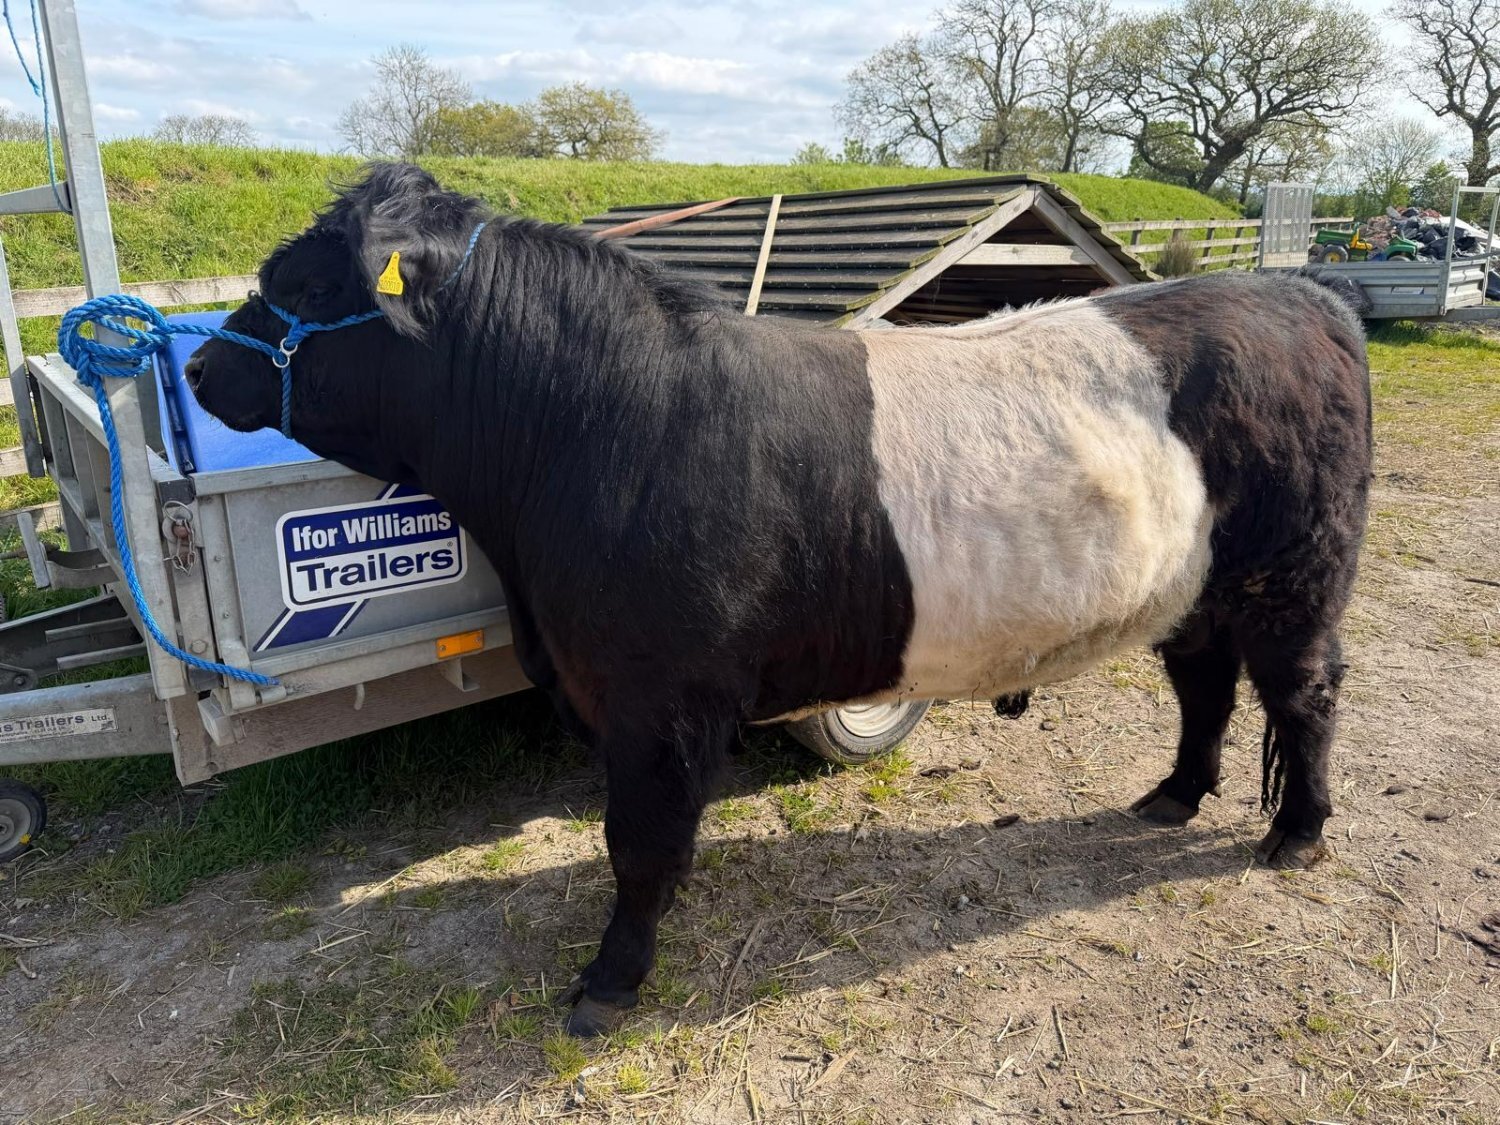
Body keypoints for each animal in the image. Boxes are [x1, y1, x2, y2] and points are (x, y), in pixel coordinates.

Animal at [184, 163, 1373, 1036]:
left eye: (315, 286)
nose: (198, 368)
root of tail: (1301, 292)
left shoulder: (660, 697)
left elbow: (639, 842)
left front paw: (609, 983)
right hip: (1197, 586)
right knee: (1205, 684)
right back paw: (1174, 794)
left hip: (1295, 578)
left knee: (1303, 695)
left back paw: (1296, 833)